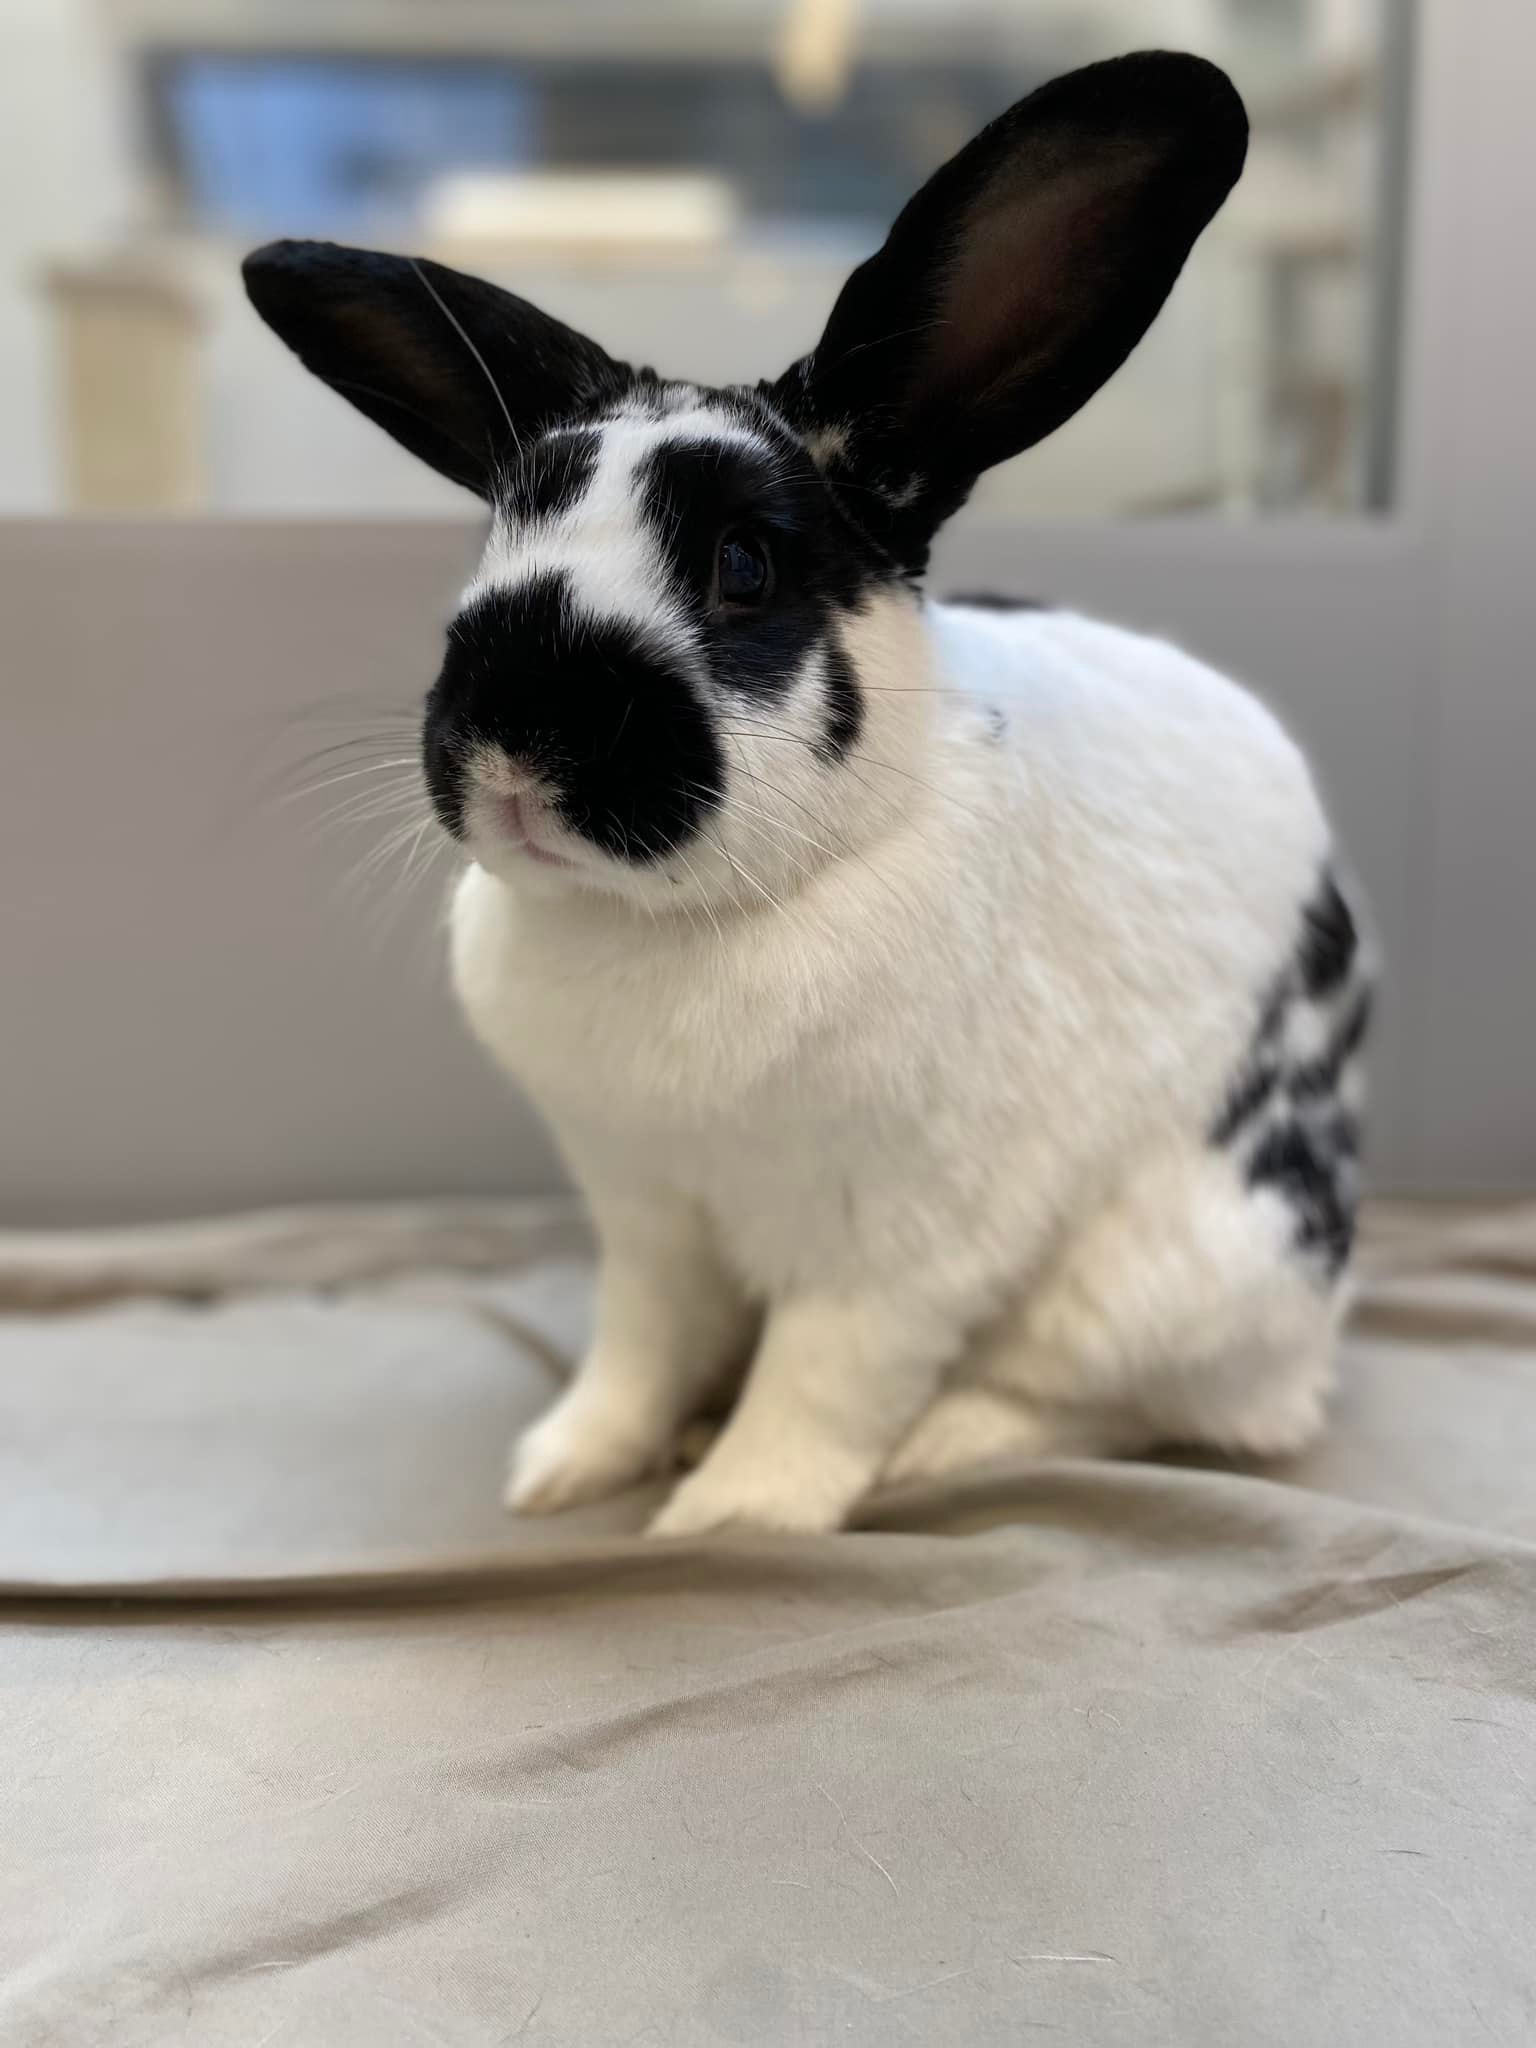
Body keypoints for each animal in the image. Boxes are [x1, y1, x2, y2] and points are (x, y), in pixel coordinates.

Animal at [244, 51, 1371, 1537]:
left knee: (1141, 1404)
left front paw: (730, 1518)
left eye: (746, 565)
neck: (668, 925)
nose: (511, 739)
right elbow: (642, 1348)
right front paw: (571, 1463)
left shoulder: (896, 1246)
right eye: (501, 531)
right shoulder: (649, 1218)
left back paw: (947, 1444)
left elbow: (823, 1382)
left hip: (1186, 1267)